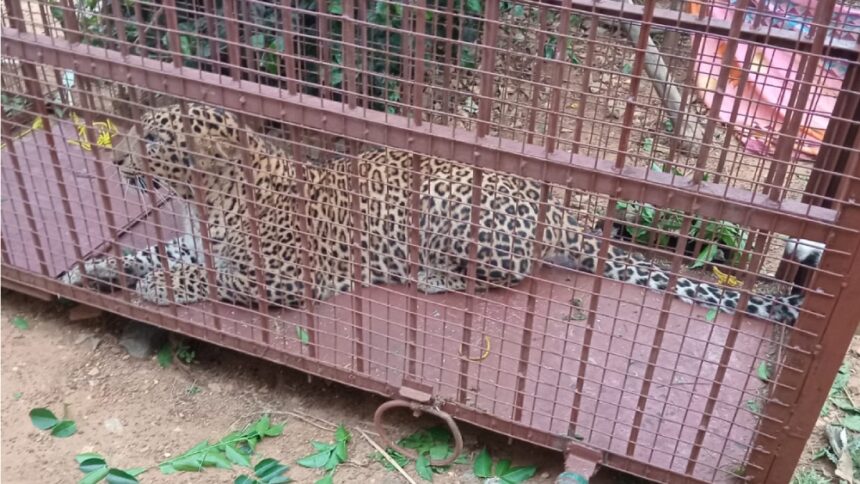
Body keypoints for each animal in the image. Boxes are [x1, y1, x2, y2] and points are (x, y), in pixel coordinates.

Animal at [59, 103, 818, 326]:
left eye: (153, 138)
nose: (117, 156)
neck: (204, 198)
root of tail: (560, 211)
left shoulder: (284, 278)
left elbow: (206, 277)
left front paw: (153, 288)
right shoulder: (195, 243)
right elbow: (154, 252)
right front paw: (87, 270)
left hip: (457, 208)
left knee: (507, 275)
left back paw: (433, 276)